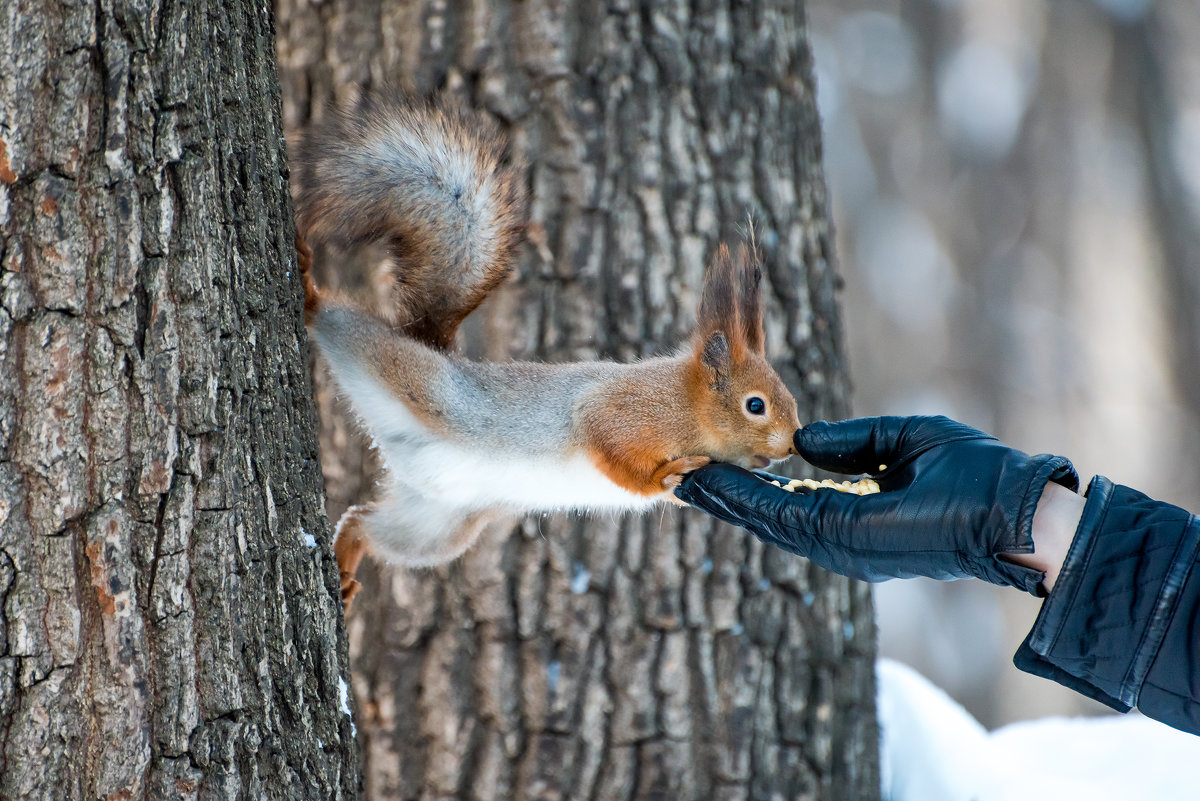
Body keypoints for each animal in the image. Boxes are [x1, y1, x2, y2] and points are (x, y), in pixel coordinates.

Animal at [291, 94, 801, 604]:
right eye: (755, 405)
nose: (791, 444)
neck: (688, 405)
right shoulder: (622, 410)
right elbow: (610, 449)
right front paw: (659, 477)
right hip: (408, 377)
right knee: (341, 325)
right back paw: (309, 292)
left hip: (436, 527)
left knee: (363, 520)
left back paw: (346, 564)